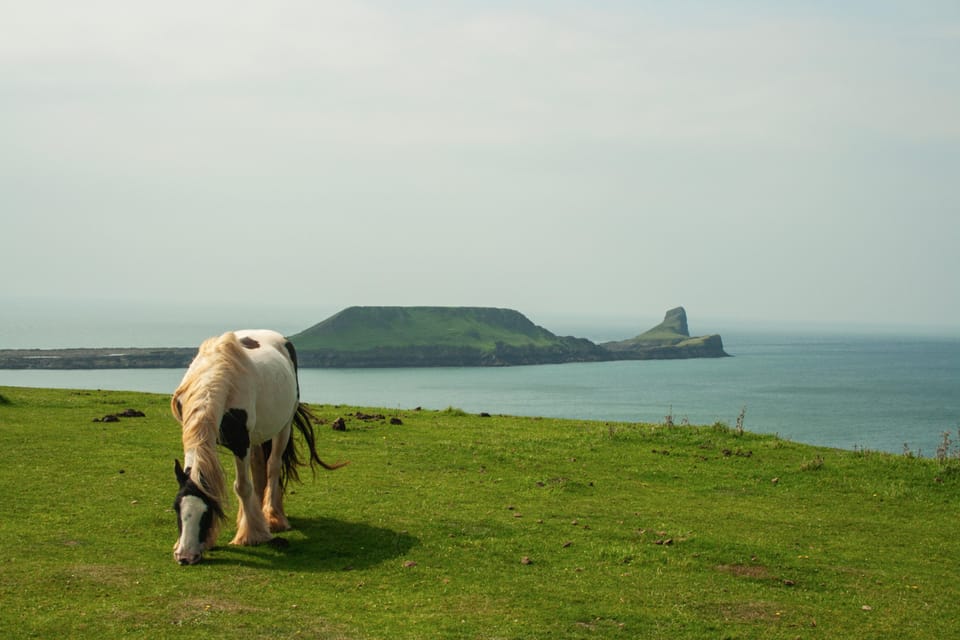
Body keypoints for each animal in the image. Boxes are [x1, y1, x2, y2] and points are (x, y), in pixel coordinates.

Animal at [171, 330, 346, 564]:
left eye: (207, 512)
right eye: (177, 508)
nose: (185, 557)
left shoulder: (240, 442)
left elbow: (242, 486)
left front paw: (251, 535)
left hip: (283, 427)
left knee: (272, 466)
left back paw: (272, 517)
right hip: (256, 438)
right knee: (258, 468)